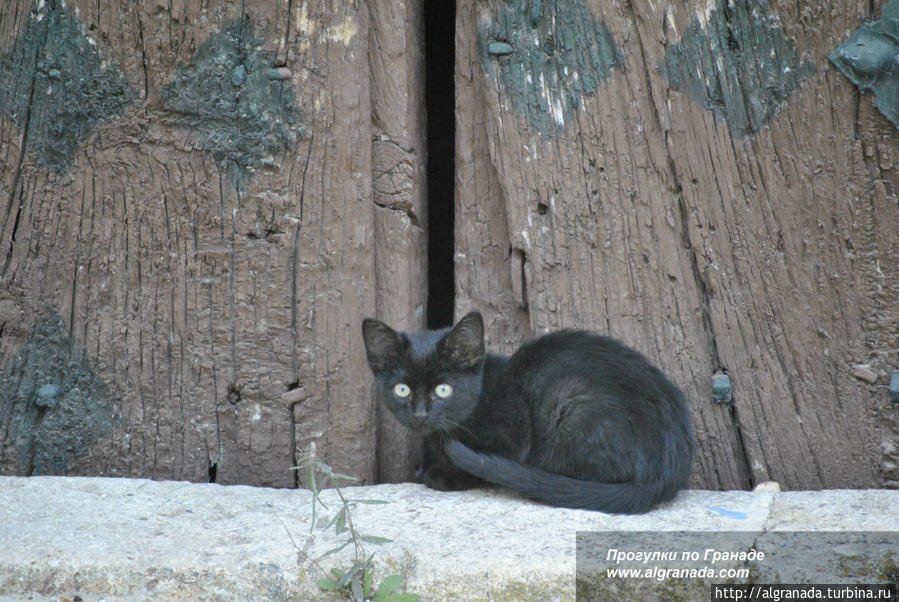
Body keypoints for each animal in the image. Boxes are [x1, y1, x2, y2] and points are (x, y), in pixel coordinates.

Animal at [360, 310, 696, 510]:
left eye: (443, 389)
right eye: (402, 389)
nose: (419, 413)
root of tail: (664, 471)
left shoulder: (514, 435)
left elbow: (480, 464)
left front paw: (441, 474)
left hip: (568, 403)